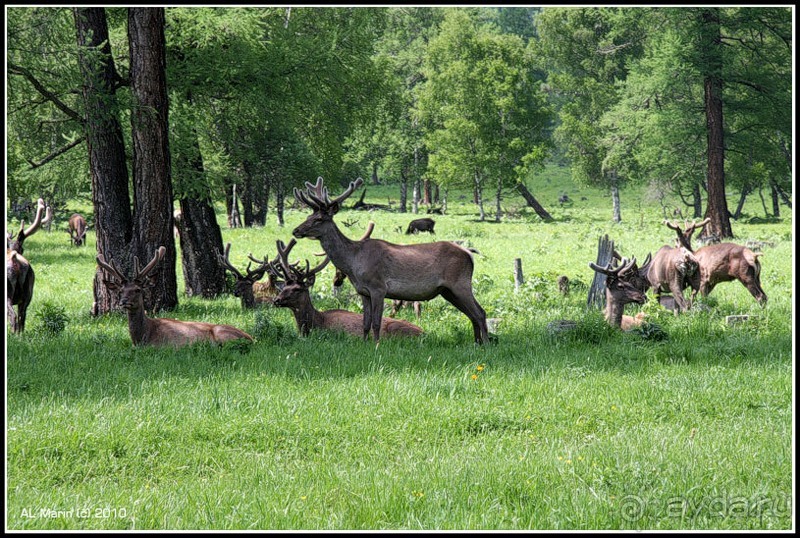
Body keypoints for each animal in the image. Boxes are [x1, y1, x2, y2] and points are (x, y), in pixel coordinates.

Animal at [6, 197, 46, 330]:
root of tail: (15, 259)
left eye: (22, 249)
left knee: (13, 317)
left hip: (8, 291)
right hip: (28, 293)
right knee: (21, 318)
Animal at [97, 245, 253, 346]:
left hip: (221, 333)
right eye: (120, 291)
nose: (124, 301)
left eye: (137, 289)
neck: (144, 337)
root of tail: (251, 338)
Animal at [270, 238, 424, 338]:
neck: (317, 322)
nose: (276, 300)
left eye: (297, 289)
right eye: (283, 287)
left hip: (396, 329)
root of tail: (423, 332)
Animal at [290, 176, 484, 344]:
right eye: (308, 216)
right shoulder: (364, 292)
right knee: (472, 314)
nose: (296, 230)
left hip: (460, 283)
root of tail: (469, 254)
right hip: (447, 290)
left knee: (480, 312)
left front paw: (377, 345)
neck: (354, 263)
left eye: (319, 219)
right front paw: (364, 344)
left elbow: (376, 322)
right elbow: (365, 323)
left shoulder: (378, 287)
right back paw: (477, 343)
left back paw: (486, 344)